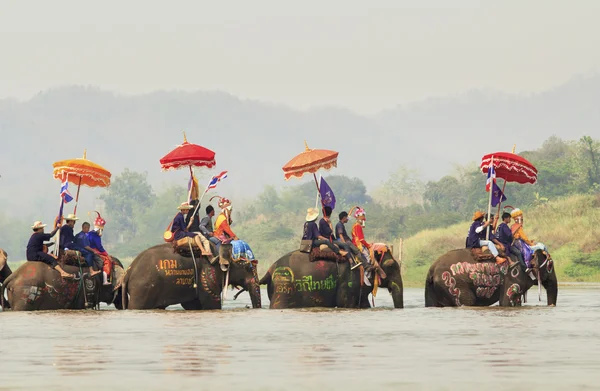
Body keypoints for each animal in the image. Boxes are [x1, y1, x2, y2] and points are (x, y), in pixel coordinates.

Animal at [122, 243, 262, 310]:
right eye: (248, 268)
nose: (248, 307)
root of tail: (128, 272)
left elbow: (192, 305)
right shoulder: (207, 274)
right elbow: (211, 303)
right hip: (142, 289)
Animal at [258, 248, 404, 310]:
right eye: (391, 266)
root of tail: (270, 269)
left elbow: (364, 304)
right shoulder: (349, 279)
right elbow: (345, 303)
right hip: (283, 288)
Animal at [422, 250, 556, 308]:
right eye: (550, 266)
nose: (550, 306)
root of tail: (431, 269)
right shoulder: (514, 277)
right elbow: (506, 302)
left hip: (431, 287)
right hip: (454, 285)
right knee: (467, 301)